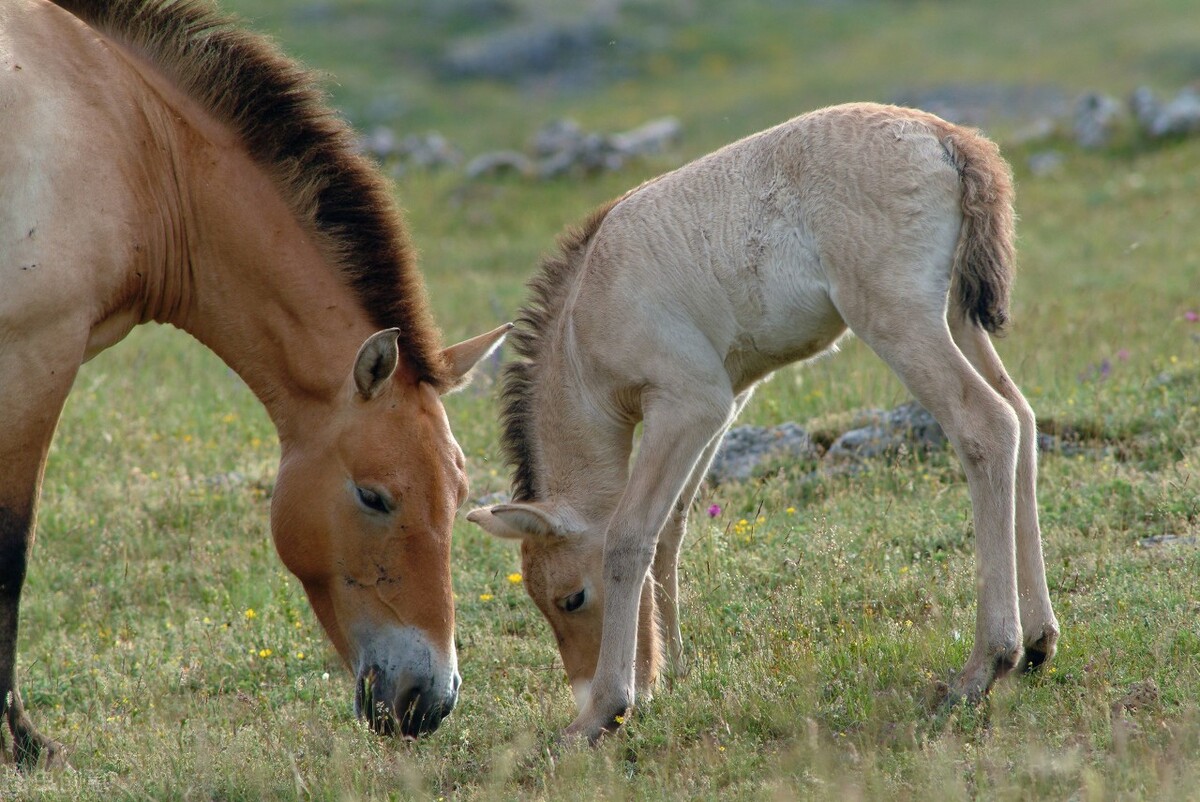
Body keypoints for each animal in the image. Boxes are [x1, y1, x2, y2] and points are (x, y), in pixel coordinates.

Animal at [1, 0, 506, 768]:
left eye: (460, 494)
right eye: (374, 497)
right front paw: (26, 743)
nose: (430, 701)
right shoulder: (34, 355)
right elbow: (11, 554)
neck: (129, 140)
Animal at [468, 103, 1060, 744]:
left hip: (898, 319)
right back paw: (1038, 642)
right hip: (956, 317)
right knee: (1022, 417)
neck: (584, 317)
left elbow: (630, 536)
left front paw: (607, 709)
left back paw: (985, 665)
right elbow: (671, 528)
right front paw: (668, 675)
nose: (582, 691)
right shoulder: (727, 398)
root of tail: (948, 138)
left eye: (571, 598)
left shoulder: (690, 401)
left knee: (987, 425)